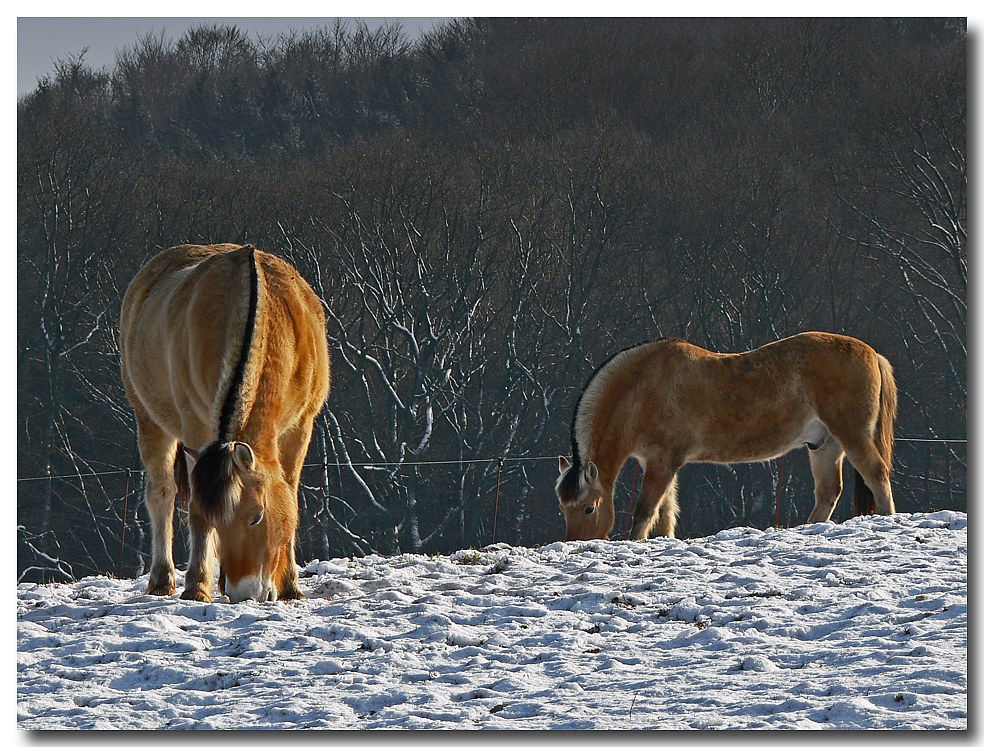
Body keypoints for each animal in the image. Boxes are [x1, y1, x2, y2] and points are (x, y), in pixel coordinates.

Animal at [121, 244, 330, 600]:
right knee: (162, 494)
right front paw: (197, 586)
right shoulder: (197, 429)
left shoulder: (300, 428)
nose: (243, 593)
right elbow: (196, 512)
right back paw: (163, 579)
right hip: (149, 419)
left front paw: (290, 585)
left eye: (256, 518)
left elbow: (290, 493)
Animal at [556, 334, 896, 544]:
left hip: (851, 434)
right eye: (563, 507)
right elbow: (666, 512)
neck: (644, 388)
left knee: (876, 474)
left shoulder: (661, 463)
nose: (576, 543)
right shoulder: (660, 464)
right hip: (824, 444)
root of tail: (872, 353)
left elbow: (645, 511)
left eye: (589, 509)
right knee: (828, 492)